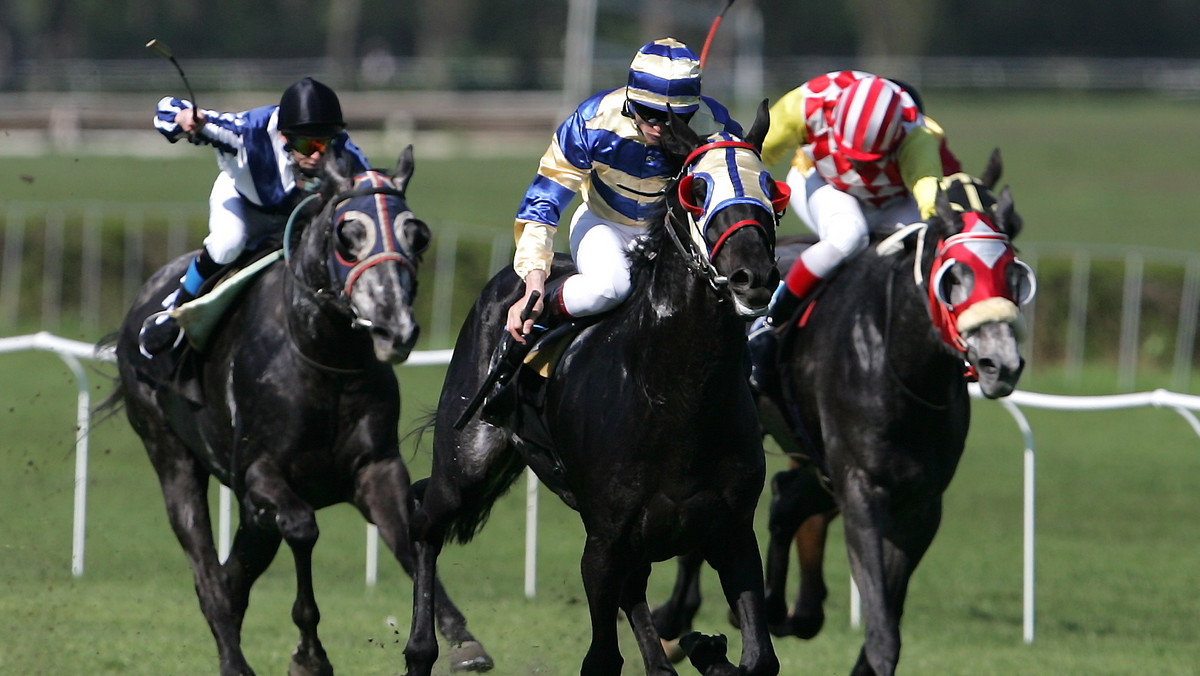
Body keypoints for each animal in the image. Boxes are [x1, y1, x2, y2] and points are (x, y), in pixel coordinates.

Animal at [405, 102, 787, 676]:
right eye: (695, 189)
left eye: (771, 187)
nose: (753, 276)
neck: (676, 396)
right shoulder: (603, 542)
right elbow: (602, 657)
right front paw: (703, 647)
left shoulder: (732, 531)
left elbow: (760, 658)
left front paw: (707, 647)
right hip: (465, 461)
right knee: (425, 521)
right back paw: (426, 649)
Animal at [657, 150, 1032, 672]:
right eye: (953, 275)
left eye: (1015, 274)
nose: (1001, 363)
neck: (902, 364)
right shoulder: (861, 487)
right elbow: (882, 630)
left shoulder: (920, 505)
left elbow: (885, 621)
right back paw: (677, 618)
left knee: (787, 497)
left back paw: (781, 607)